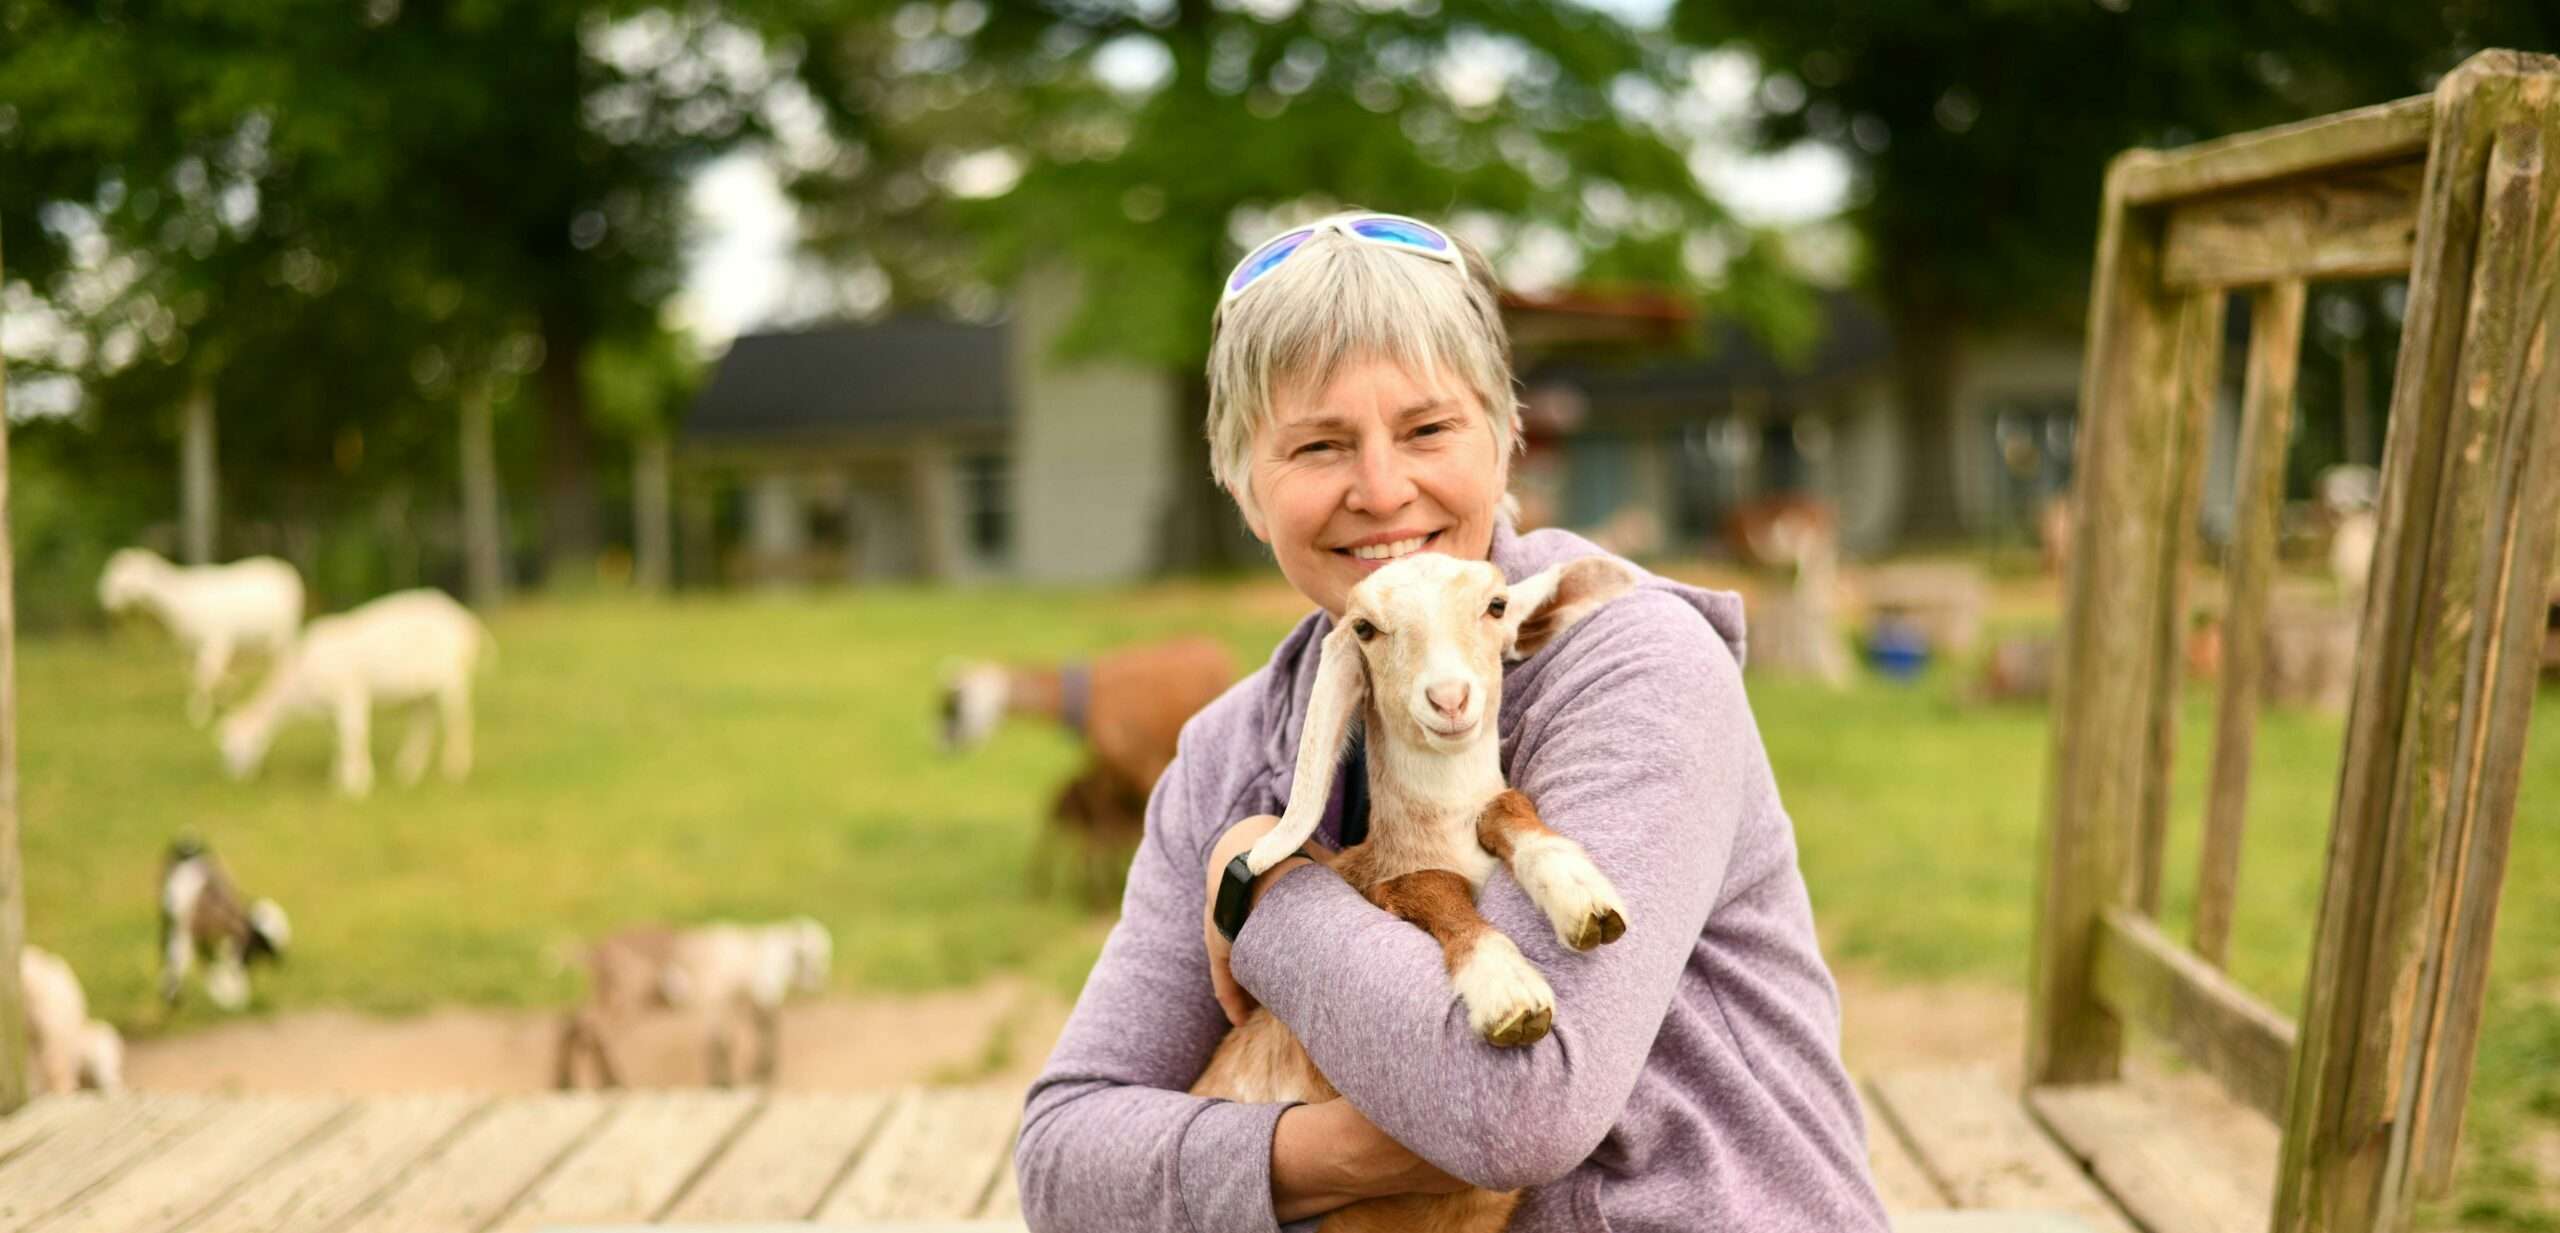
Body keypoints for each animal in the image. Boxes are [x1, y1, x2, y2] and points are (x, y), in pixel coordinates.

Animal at [217, 588, 491, 798]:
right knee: (424, 723)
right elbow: (338, 738)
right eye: (225, 748)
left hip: (452, 678)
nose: (233, 780)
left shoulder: (350, 694)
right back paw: (408, 770)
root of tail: (464, 620)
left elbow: (354, 734)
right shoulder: (330, 708)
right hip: (422, 690)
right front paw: (338, 779)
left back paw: (455, 769)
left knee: (459, 720)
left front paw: (356, 785)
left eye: (237, 745)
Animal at [558, 915, 829, 1089]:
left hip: (611, 994)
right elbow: (721, 1041)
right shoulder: (716, 1000)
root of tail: (596, 949)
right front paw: (724, 1083)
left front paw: (751, 1076)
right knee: (594, 1028)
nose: (818, 982)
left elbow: (752, 1032)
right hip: (629, 997)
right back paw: (606, 1082)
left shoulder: (736, 1003)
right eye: (804, 957)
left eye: (823, 955)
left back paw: (576, 1082)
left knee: (577, 1020)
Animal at [1192, 555, 1638, 1233]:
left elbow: (1504, 806)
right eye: (1366, 629)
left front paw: (1582, 897)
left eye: (1496, 606)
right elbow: (1430, 888)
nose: (1449, 698)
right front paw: (1510, 994)